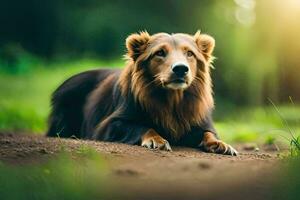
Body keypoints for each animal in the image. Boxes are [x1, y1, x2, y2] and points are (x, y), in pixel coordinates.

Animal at [47, 31, 238, 156]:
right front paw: (157, 140)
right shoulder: (109, 124)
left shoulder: (199, 120)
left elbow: (208, 133)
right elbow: (141, 126)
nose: (180, 69)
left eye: (189, 53)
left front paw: (221, 144)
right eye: (160, 52)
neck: (173, 100)